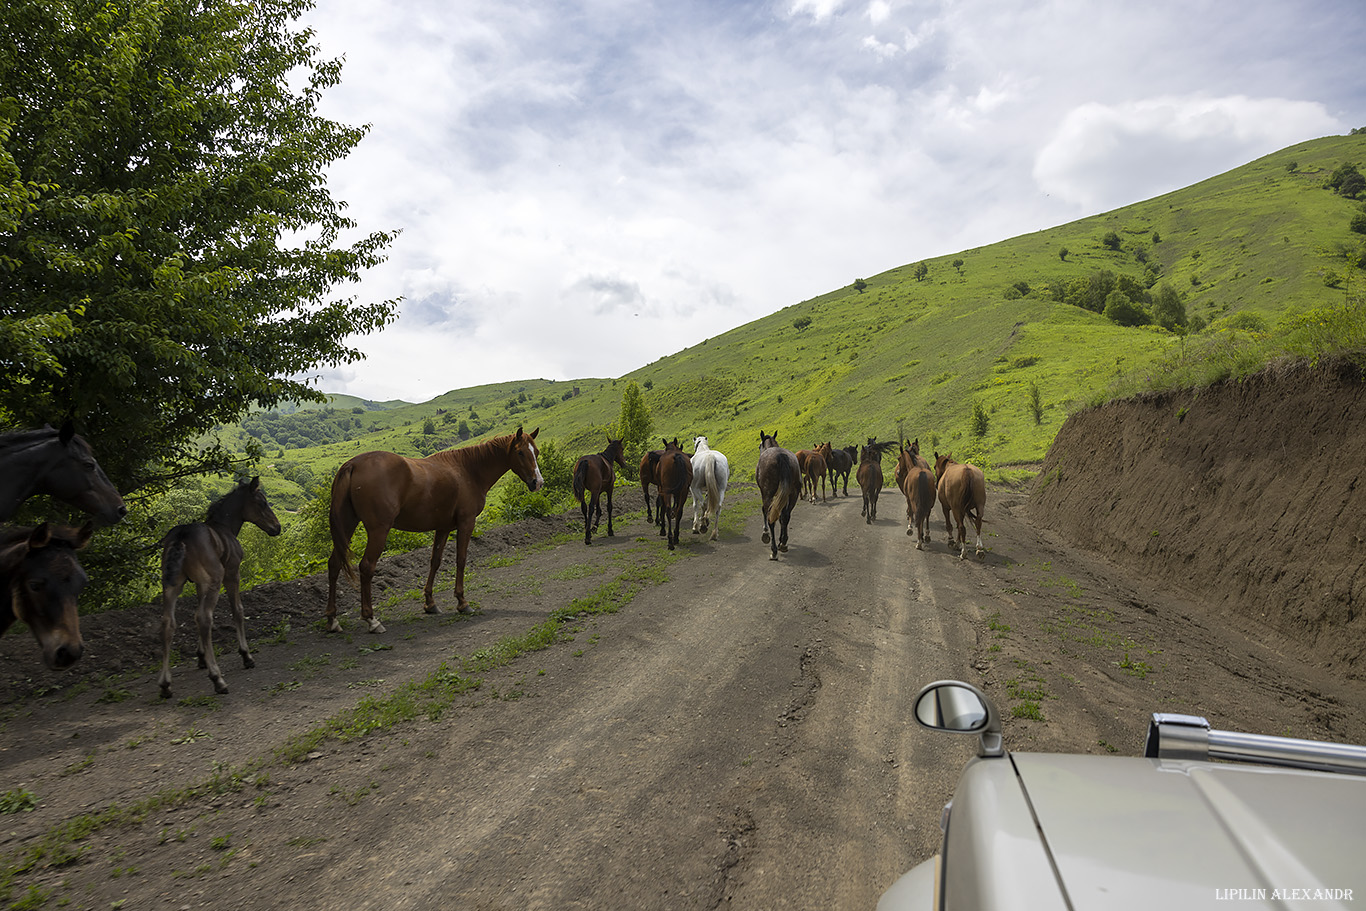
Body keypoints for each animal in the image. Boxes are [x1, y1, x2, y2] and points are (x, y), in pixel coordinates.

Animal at [157, 478, 280, 699]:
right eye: (262, 502)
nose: (277, 527)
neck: (224, 528)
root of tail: (181, 536)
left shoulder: (199, 584)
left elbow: (196, 616)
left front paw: (201, 657)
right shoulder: (232, 574)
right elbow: (237, 611)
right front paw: (246, 655)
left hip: (172, 585)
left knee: (169, 623)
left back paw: (165, 684)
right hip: (214, 580)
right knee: (204, 618)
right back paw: (218, 679)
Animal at [326, 428, 543, 631]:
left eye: (537, 452)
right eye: (521, 452)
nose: (537, 482)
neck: (468, 470)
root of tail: (353, 464)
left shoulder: (443, 528)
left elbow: (435, 561)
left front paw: (430, 603)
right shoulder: (466, 523)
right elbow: (461, 560)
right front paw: (462, 602)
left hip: (348, 525)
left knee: (334, 564)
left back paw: (333, 620)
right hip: (378, 531)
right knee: (366, 567)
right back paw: (371, 619)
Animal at [759, 431, 797, 559]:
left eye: (759, 446)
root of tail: (781, 456)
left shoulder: (765, 494)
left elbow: (765, 511)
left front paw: (765, 533)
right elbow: (781, 517)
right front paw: (782, 539)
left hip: (768, 494)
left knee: (771, 517)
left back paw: (774, 550)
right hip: (793, 494)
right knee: (786, 516)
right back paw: (783, 543)